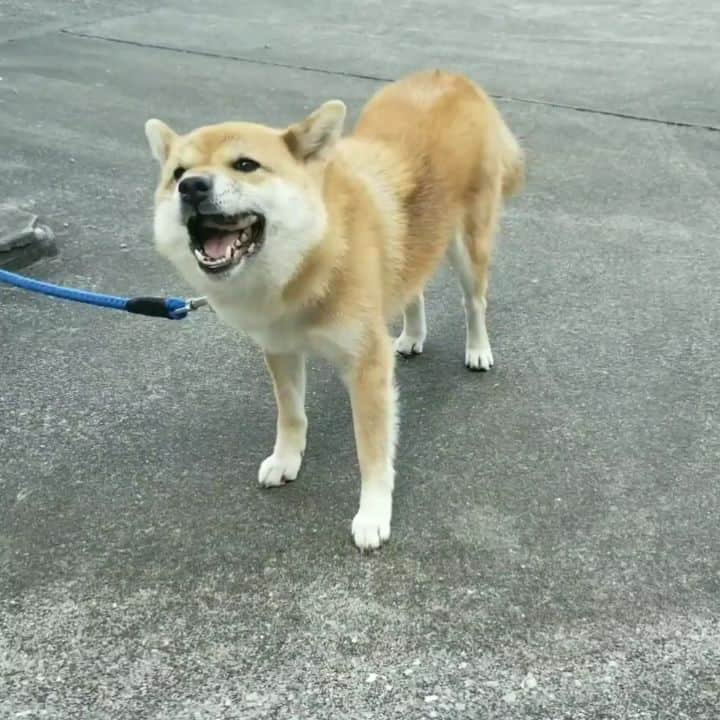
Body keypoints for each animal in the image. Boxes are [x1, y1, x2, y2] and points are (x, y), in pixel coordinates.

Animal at [145, 70, 524, 548]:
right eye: (177, 172)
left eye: (245, 165)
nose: (191, 186)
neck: (314, 256)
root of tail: (451, 76)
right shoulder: (281, 350)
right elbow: (291, 414)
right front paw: (286, 459)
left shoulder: (366, 366)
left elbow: (372, 451)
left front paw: (374, 513)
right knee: (412, 289)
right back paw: (412, 335)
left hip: (468, 245)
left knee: (474, 301)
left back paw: (477, 349)